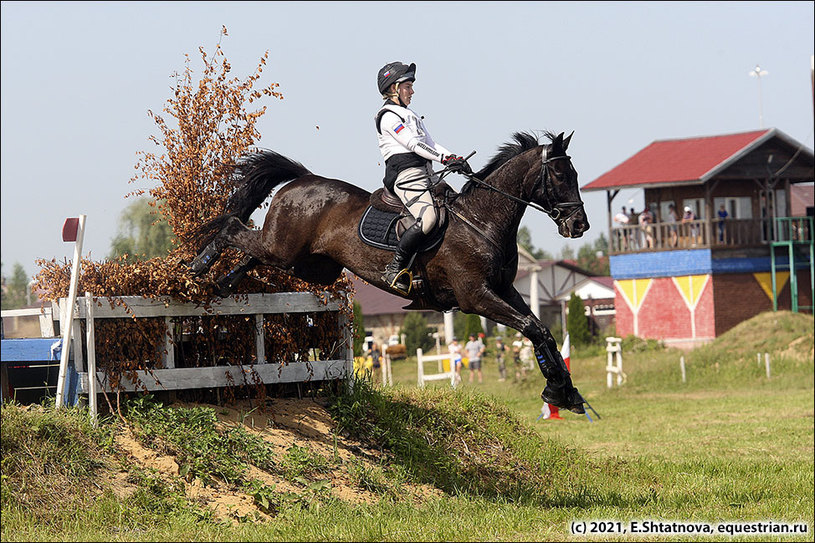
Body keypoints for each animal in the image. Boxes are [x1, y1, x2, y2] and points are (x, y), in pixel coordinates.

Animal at [188, 131, 588, 412]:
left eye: (574, 173)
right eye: (559, 175)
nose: (579, 225)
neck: (481, 222)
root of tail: (304, 178)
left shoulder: (505, 290)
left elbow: (542, 330)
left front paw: (566, 392)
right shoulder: (476, 297)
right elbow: (533, 328)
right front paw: (558, 390)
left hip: (307, 263)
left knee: (252, 255)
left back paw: (223, 283)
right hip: (285, 248)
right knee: (232, 228)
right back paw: (198, 267)